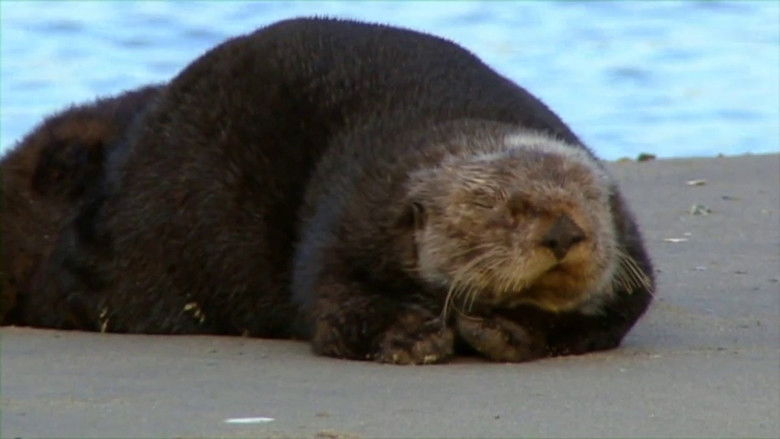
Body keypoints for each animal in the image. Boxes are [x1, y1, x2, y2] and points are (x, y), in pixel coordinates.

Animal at [19, 18, 653, 363]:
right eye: (504, 207)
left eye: (588, 202)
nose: (565, 233)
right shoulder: (348, 217)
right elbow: (334, 305)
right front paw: (411, 336)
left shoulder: (633, 274)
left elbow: (605, 319)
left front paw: (504, 327)